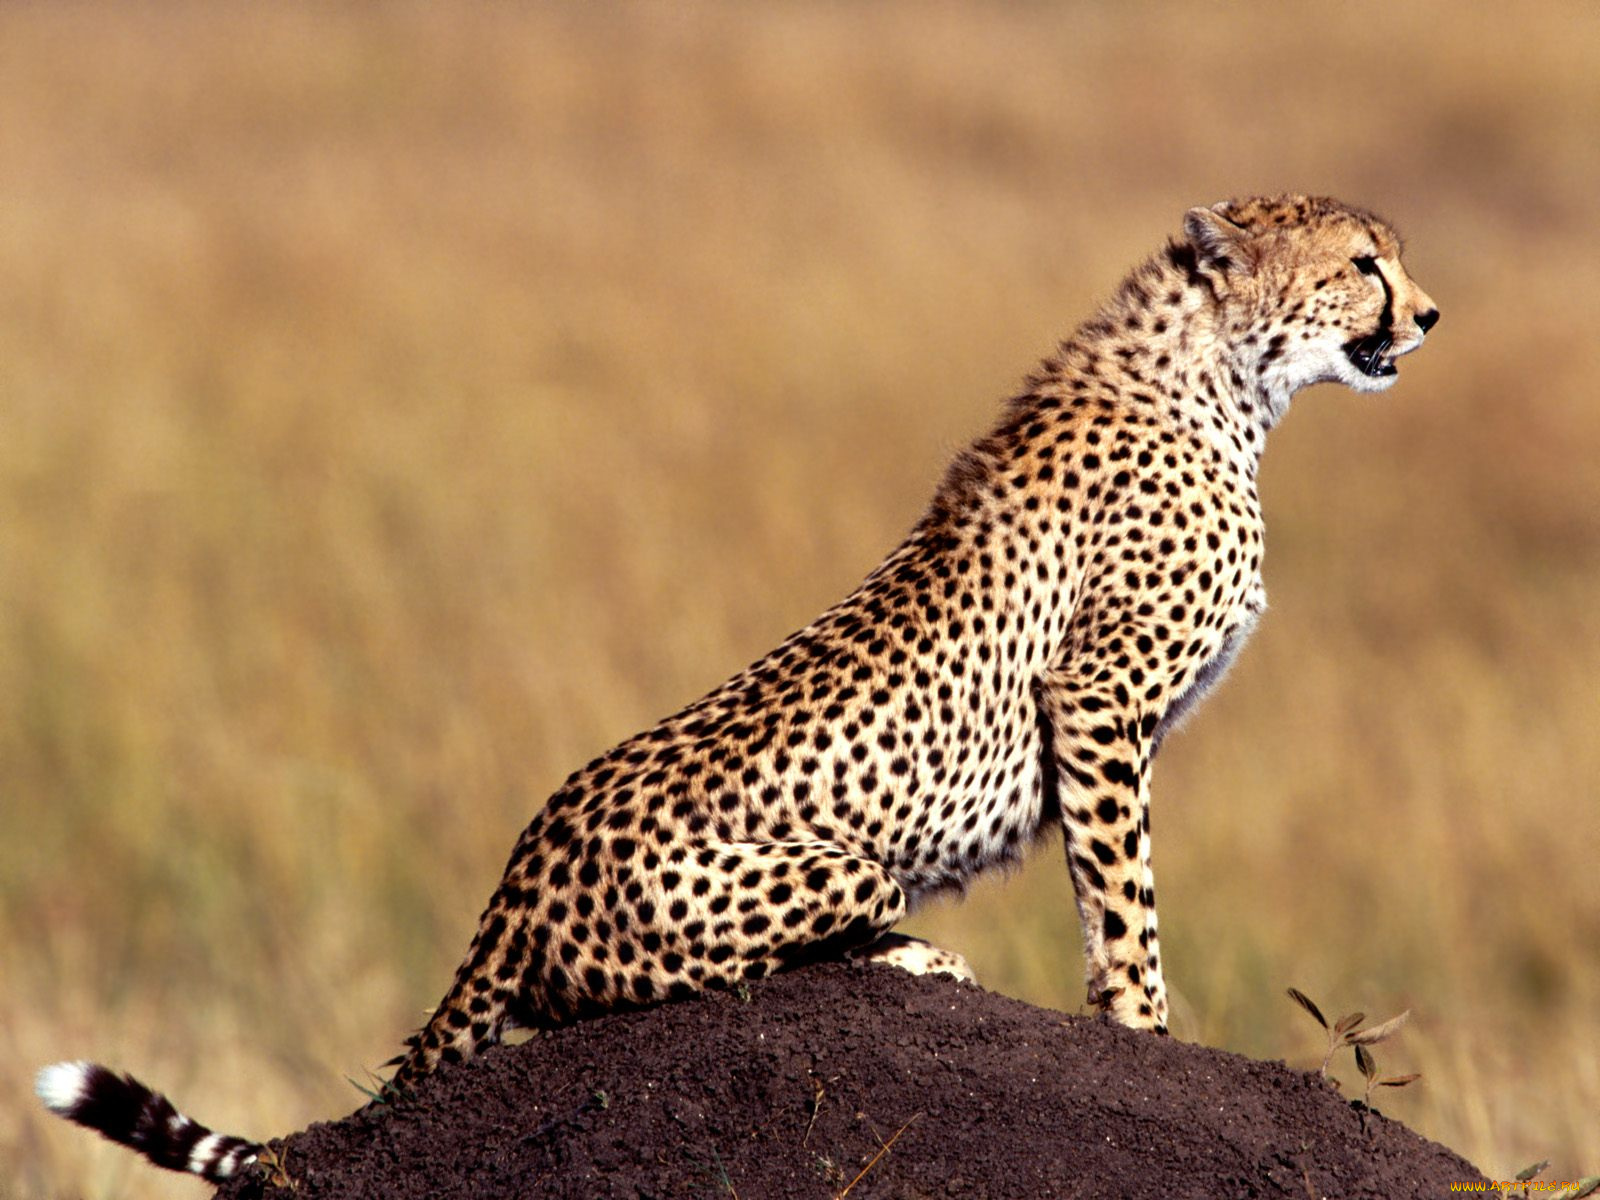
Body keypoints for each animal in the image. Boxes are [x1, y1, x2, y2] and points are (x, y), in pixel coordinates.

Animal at [37, 194, 1438, 1182]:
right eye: (1361, 262)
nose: (1427, 317)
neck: (1223, 381)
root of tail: (516, 875)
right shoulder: (1094, 698)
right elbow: (1125, 897)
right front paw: (1149, 1035)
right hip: (820, 875)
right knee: (669, 986)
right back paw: (913, 957)